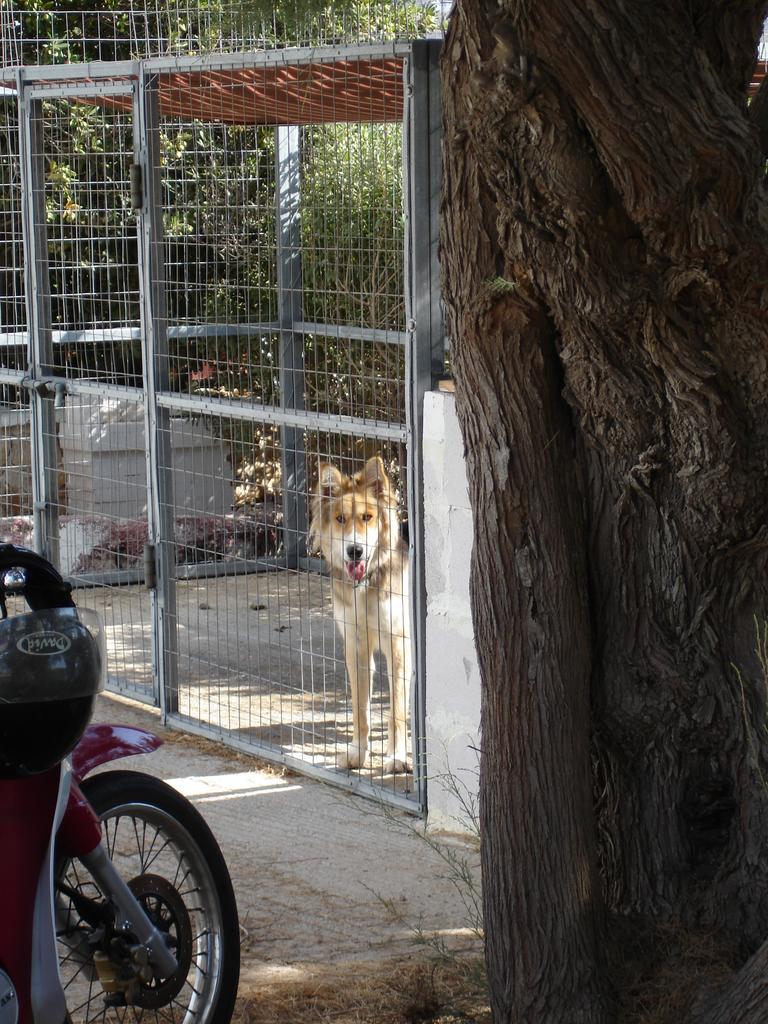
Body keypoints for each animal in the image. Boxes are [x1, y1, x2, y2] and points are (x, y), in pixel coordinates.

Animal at [309, 456, 411, 774]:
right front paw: (357, 752)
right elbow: (360, 708)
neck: (366, 584)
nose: (355, 551)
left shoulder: (398, 644)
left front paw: (397, 757)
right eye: (340, 519)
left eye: (367, 517)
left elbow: (396, 710)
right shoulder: (355, 646)